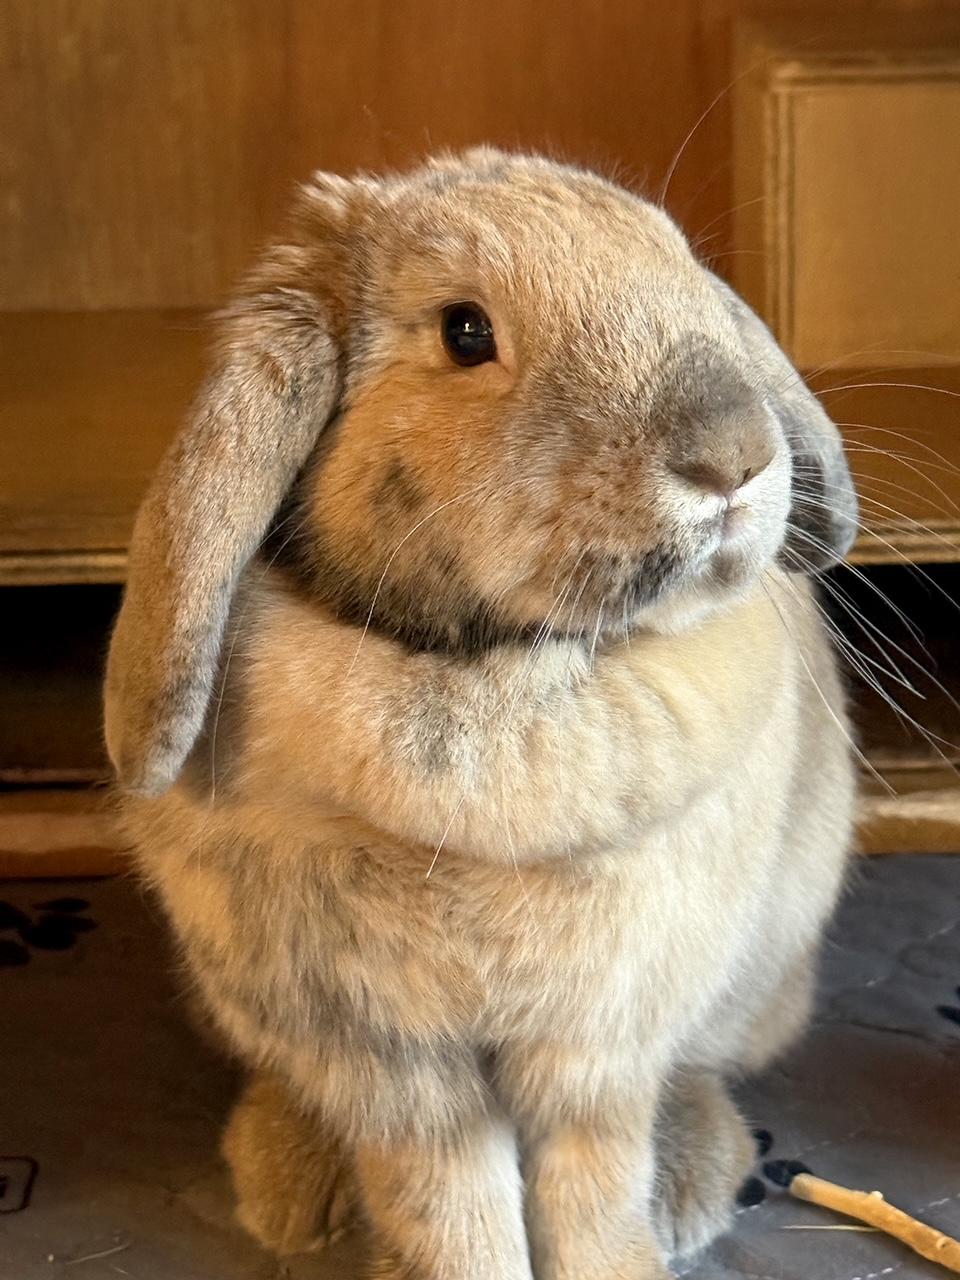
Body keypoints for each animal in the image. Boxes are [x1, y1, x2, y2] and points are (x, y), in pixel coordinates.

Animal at [104, 148, 858, 1279]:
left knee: (700, 1072)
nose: (732, 456)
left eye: (683, 269)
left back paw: (693, 1182)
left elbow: (593, 1184)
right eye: (465, 331)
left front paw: (623, 1263)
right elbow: (446, 1198)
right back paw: (299, 1194)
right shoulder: (390, 1059)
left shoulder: (602, 1042)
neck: (500, 672)